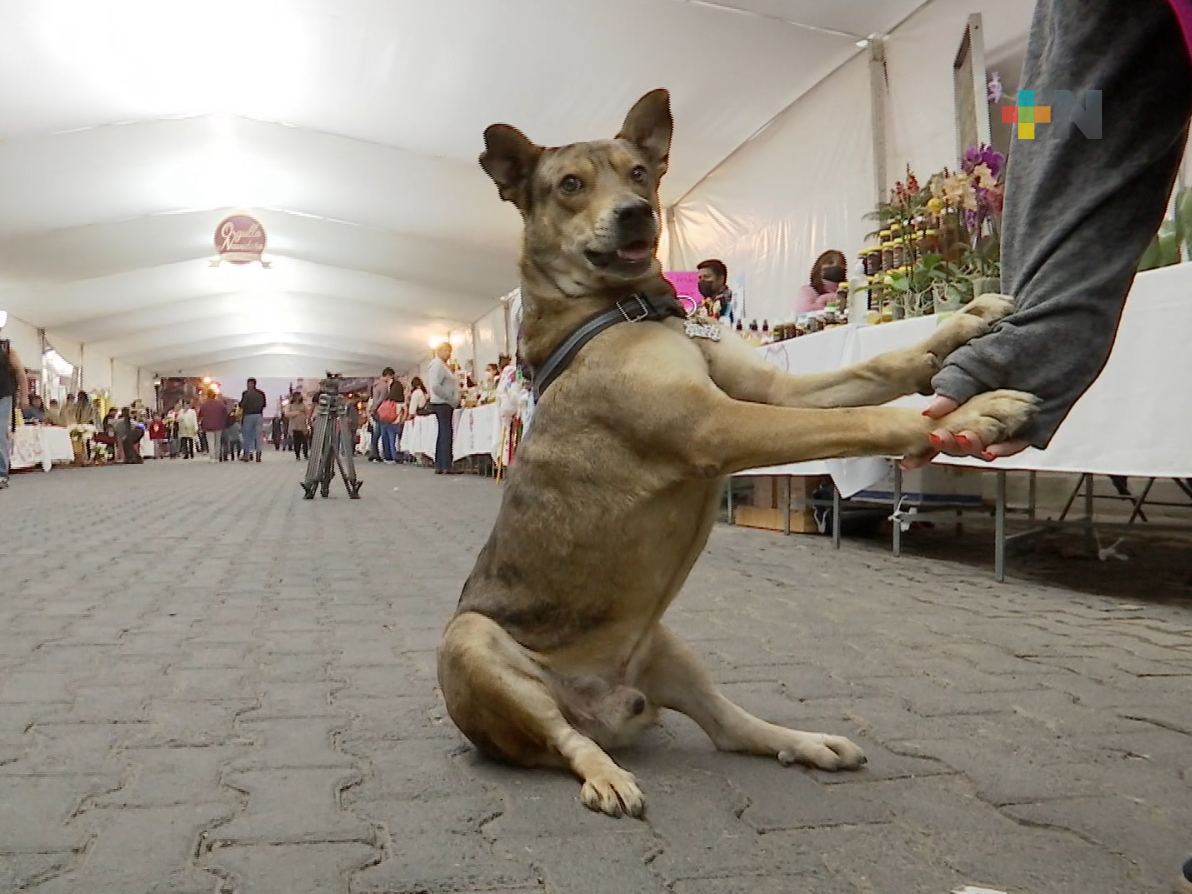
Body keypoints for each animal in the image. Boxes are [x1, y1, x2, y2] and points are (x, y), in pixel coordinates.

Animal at [436, 87, 1034, 815]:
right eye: (571, 185)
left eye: (639, 172)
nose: (635, 213)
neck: (625, 309)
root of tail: (600, 709)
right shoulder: (715, 425)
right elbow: (868, 416)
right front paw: (978, 411)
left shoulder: (778, 391)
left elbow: (878, 369)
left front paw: (964, 323)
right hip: (473, 645)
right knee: (563, 740)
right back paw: (604, 774)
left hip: (665, 643)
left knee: (728, 729)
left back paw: (807, 742)